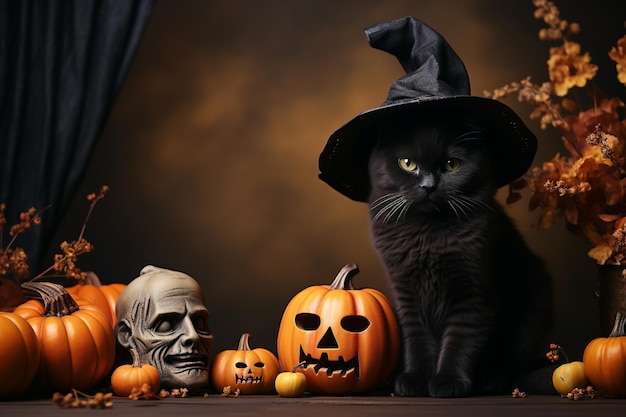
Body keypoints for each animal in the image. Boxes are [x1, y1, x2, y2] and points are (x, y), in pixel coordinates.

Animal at [366, 109, 552, 394]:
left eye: (452, 164)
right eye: (408, 163)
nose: (428, 186)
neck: (427, 236)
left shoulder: (474, 292)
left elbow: (461, 340)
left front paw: (449, 381)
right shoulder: (407, 294)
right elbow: (416, 339)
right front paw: (415, 379)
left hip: (533, 311)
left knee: (511, 363)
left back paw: (491, 380)